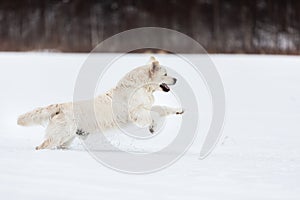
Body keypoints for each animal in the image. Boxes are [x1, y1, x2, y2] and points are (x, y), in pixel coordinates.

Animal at [18, 56, 184, 150]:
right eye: (165, 74)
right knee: (41, 146)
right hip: (60, 135)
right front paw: (152, 126)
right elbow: (153, 114)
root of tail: (61, 106)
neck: (142, 87)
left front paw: (179, 110)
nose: (177, 79)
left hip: (67, 139)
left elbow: (161, 108)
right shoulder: (136, 113)